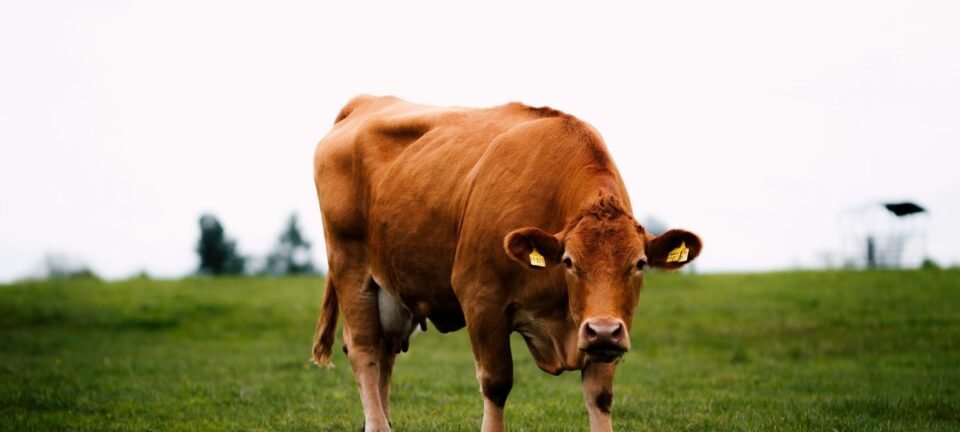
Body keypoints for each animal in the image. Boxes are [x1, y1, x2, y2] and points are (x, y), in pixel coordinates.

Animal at [311, 95, 702, 432]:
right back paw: (378, 424)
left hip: (391, 289)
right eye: (569, 262)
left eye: (639, 264)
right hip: (351, 268)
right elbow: (496, 384)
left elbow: (600, 394)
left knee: (385, 353)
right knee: (364, 350)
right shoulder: (481, 300)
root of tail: (365, 102)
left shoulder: (609, 324)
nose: (603, 330)